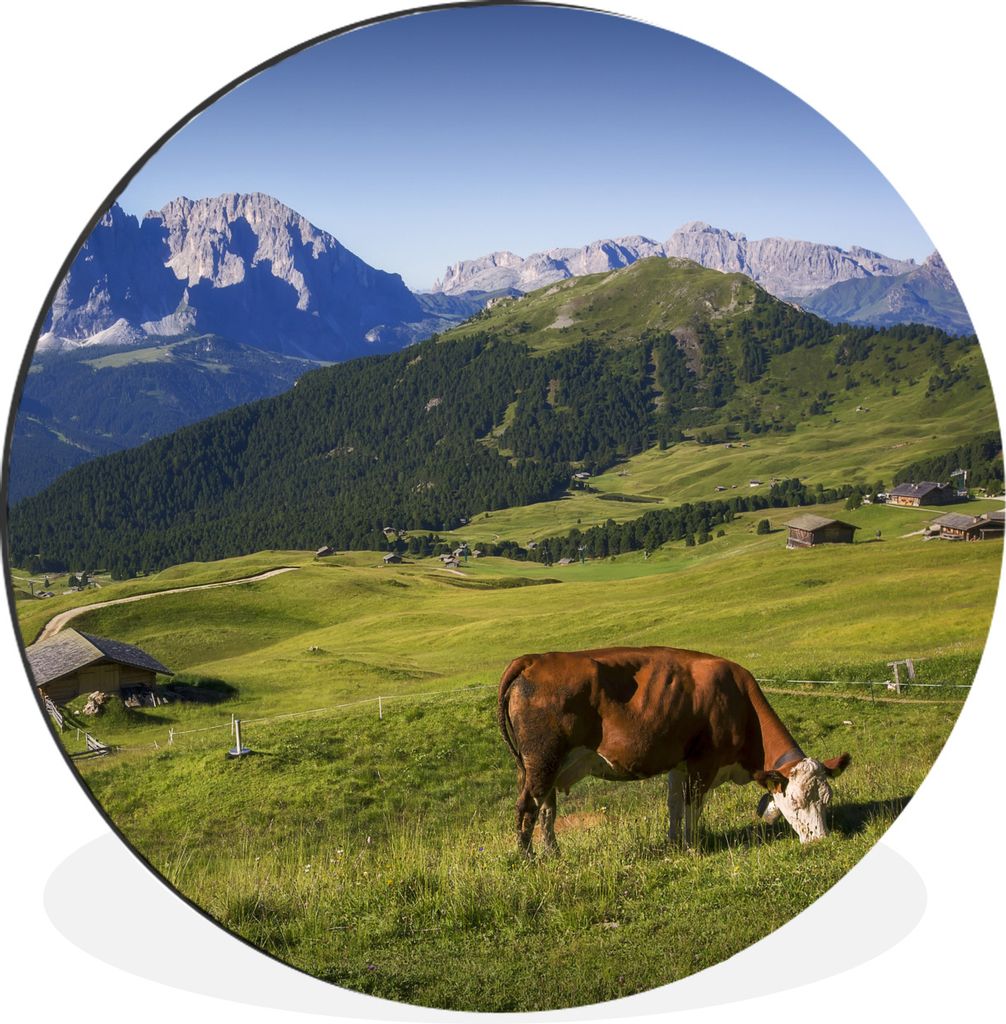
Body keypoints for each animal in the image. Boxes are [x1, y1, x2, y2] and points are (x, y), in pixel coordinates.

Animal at [497, 646, 850, 855]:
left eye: (827, 799)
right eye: (796, 801)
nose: (822, 839)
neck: (739, 700)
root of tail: (533, 659)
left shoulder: (680, 763)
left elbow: (674, 805)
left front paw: (673, 843)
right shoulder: (703, 762)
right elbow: (694, 806)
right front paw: (693, 847)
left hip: (539, 766)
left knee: (546, 810)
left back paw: (553, 853)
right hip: (543, 760)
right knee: (527, 809)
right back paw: (529, 859)